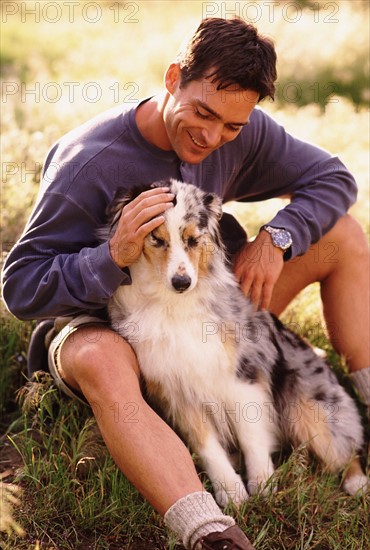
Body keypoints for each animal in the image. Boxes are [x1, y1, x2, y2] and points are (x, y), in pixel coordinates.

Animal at [100, 179, 368, 506]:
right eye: (156, 239)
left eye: (193, 240)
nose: (182, 283)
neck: (172, 304)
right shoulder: (176, 389)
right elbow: (207, 446)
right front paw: (232, 493)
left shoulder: (243, 373)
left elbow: (251, 432)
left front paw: (262, 485)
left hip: (307, 411)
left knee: (344, 446)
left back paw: (357, 482)